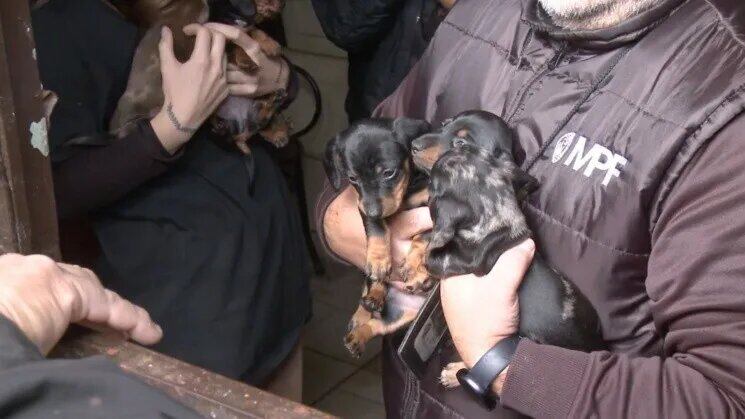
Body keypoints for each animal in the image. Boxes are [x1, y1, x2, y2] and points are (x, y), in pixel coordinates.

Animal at [109, 0, 290, 154]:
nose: (284, 4)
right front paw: (247, 59)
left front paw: (271, 45)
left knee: (261, 118)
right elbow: (237, 42)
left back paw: (278, 128)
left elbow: (251, 30)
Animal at [322, 117, 434, 358]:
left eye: (388, 173)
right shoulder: (362, 205)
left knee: (378, 325)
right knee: (373, 304)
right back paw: (369, 306)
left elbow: (425, 235)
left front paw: (414, 265)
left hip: (406, 314)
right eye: (352, 178)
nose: (374, 211)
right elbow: (377, 230)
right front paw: (379, 260)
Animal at [406, 110, 604, 388]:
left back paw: (455, 373)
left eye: (461, 142)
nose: (413, 145)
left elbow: (431, 242)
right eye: (444, 124)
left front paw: (418, 272)